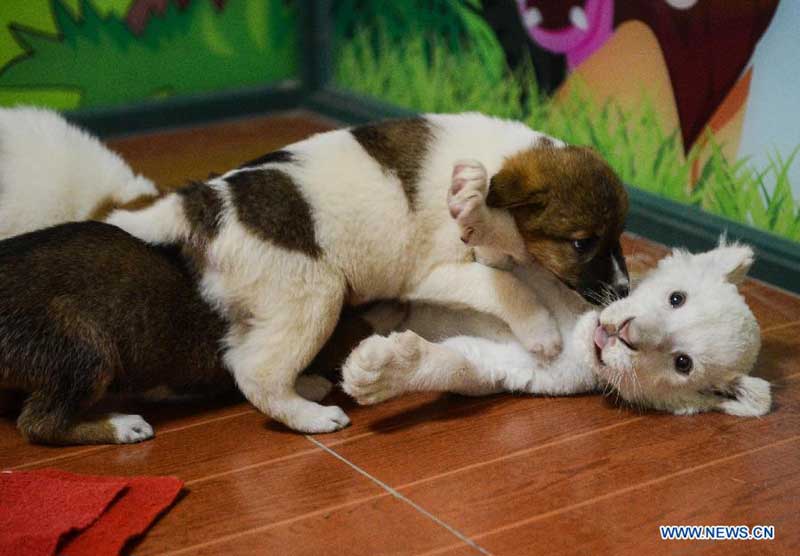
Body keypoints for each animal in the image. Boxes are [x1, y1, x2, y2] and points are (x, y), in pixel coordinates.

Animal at [108, 114, 632, 434]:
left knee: (243, 357)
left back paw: (307, 387)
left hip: (261, 302)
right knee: (256, 372)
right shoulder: (435, 273)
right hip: (313, 294)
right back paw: (311, 417)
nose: (623, 290)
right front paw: (541, 332)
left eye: (618, 236)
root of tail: (202, 203)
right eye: (582, 243)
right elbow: (505, 283)